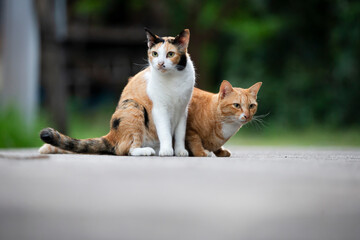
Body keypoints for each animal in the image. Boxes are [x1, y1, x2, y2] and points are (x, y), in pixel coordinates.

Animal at [39, 28, 195, 157]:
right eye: (155, 54)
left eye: (170, 54)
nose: (160, 64)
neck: (173, 78)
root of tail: (112, 135)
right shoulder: (159, 109)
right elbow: (165, 131)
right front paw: (167, 150)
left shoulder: (183, 110)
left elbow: (180, 134)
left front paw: (180, 151)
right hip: (134, 107)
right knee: (126, 149)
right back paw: (145, 151)